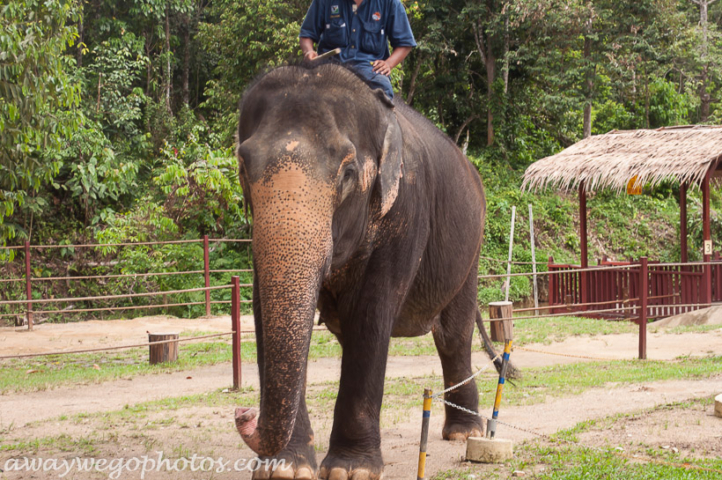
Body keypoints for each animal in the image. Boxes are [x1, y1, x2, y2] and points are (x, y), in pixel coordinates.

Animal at [233, 61, 504, 480]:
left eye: (347, 173)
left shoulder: (405, 211)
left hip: (470, 247)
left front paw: (350, 470)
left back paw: (464, 434)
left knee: (453, 336)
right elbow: (265, 313)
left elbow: (370, 315)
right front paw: (286, 470)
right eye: (244, 168)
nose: (244, 415)